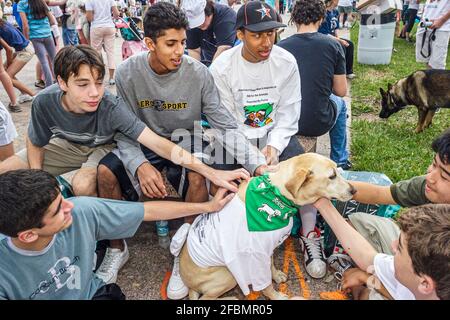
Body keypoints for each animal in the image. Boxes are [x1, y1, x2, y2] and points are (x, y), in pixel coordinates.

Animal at [178, 154, 354, 298]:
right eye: (332, 176)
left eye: (338, 170)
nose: (354, 190)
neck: (276, 193)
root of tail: (188, 283)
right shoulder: (257, 254)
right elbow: (265, 283)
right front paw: (276, 296)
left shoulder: (268, 248)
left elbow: (270, 266)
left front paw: (276, 276)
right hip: (228, 275)